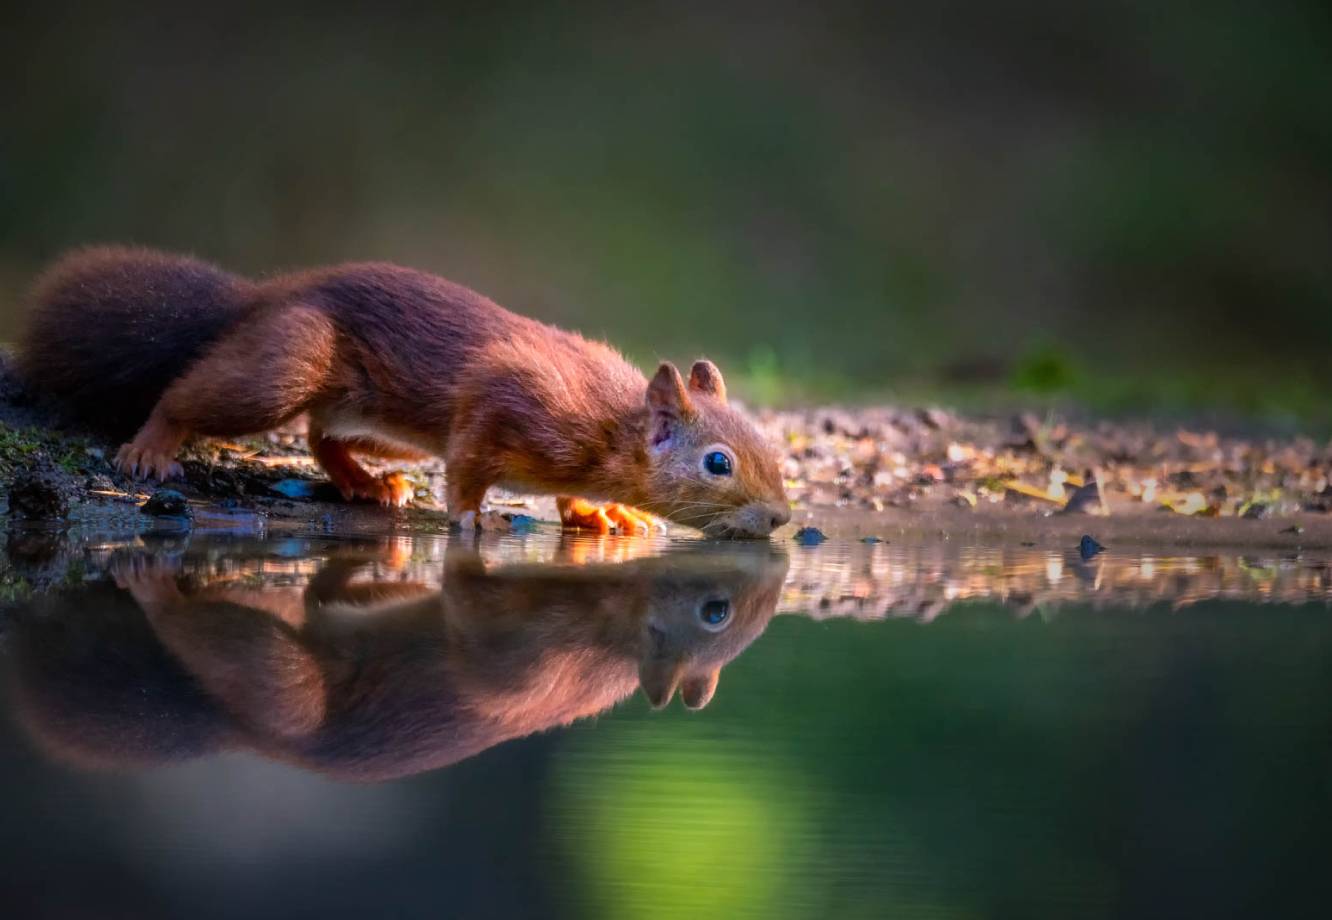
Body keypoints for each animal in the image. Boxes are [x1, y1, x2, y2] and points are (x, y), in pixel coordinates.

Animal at [18, 246, 790, 536]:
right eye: (717, 463)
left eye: (770, 444)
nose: (783, 519)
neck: (610, 428)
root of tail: (267, 297)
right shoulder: (505, 400)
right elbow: (471, 462)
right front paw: (473, 517)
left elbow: (571, 496)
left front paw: (602, 513)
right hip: (281, 368)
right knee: (193, 395)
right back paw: (151, 449)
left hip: (379, 421)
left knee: (321, 435)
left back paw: (365, 483)